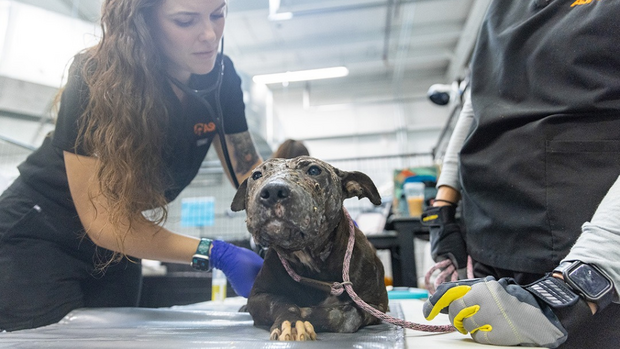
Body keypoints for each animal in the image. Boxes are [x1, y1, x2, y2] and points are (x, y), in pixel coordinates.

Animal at [232, 156, 388, 340]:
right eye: (256, 175)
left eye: (314, 170)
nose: (273, 191)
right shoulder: (258, 296)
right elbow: (282, 303)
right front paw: (291, 323)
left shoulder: (375, 305)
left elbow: (345, 315)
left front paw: (309, 313)